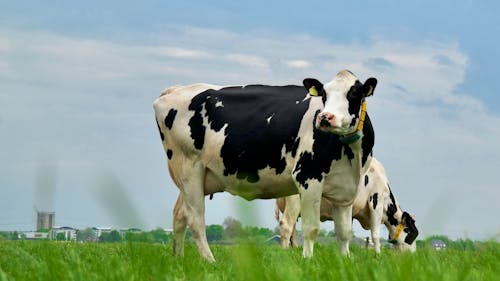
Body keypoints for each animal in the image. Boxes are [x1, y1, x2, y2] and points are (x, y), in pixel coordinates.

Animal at [154, 69, 376, 260]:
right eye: (324, 94)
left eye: (354, 93)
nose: (325, 117)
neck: (351, 155)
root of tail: (175, 90)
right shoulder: (308, 176)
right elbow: (311, 228)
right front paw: (307, 260)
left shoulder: (346, 190)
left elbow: (344, 233)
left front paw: (345, 260)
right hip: (189, 168)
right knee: (196, 219)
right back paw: (210, 260)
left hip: (192, 178)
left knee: (180, 215)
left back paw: (178, 258)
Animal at [274, 159, 418, 253]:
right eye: (411, 233)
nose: (413, 256)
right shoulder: (376, 202)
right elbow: (375, 235)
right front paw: (378, 256)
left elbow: (345, 231)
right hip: (294, 201)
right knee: (286, 225)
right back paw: (285, 253)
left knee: (292, 230)